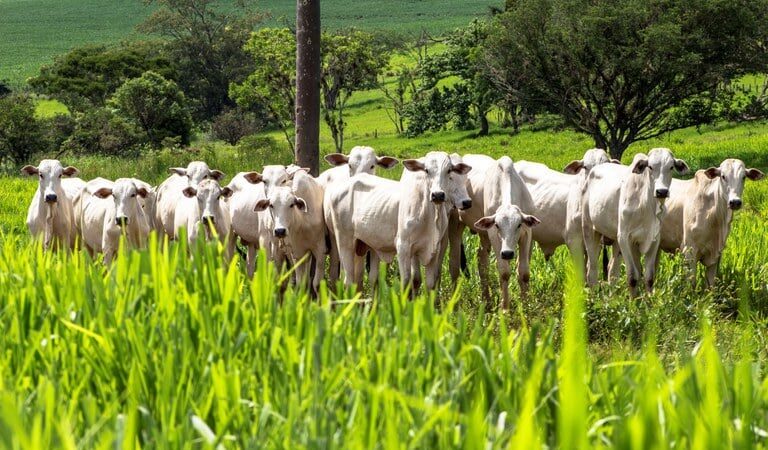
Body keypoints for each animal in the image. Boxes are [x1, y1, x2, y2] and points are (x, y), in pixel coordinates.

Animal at [448, 155, 536, 310]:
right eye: (497, 225)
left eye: (519, 225)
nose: (507, 253)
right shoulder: (493, 234)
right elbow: (504, 272)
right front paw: (505, 308)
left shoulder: (527, 233)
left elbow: (524, 272)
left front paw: (526, 306)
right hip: (455, 225)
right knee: (454, 264)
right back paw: (455, 304)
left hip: (483, 235)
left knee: (482, 261)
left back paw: (487, 300)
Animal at [584, 148, 688, 296]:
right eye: (650, 167)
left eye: (671, 167)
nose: (661, 191)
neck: (647, 205)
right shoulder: (624, 239)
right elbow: (633, 277)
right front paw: (633, 302)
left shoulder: (653, 240)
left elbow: (649, 277)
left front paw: (648, 300)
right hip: (590, 231)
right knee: (591, 270)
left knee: (612, 270)